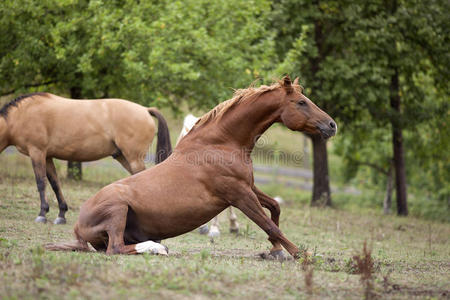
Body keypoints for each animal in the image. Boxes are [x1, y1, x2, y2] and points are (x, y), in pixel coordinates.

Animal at [0, 92, 172, 224]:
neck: (22, 115)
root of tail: (145, 109)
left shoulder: (37, 152)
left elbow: (41, 183)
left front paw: (42, 214)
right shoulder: (47, 157)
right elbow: (55, 184)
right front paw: (61, 215)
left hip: (134, 158)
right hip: (123, 157)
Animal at [45, 77, 336, 258]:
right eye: (301, 102)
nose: (331, 125)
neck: (220, 143)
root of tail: (78, 225)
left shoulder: (249, 187)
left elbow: (274, 208)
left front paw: (276, 250)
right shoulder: (239, 194)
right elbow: (269, 224)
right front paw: (303, 254)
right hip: (118, 208)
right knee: (115, 248)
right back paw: (157, 248)